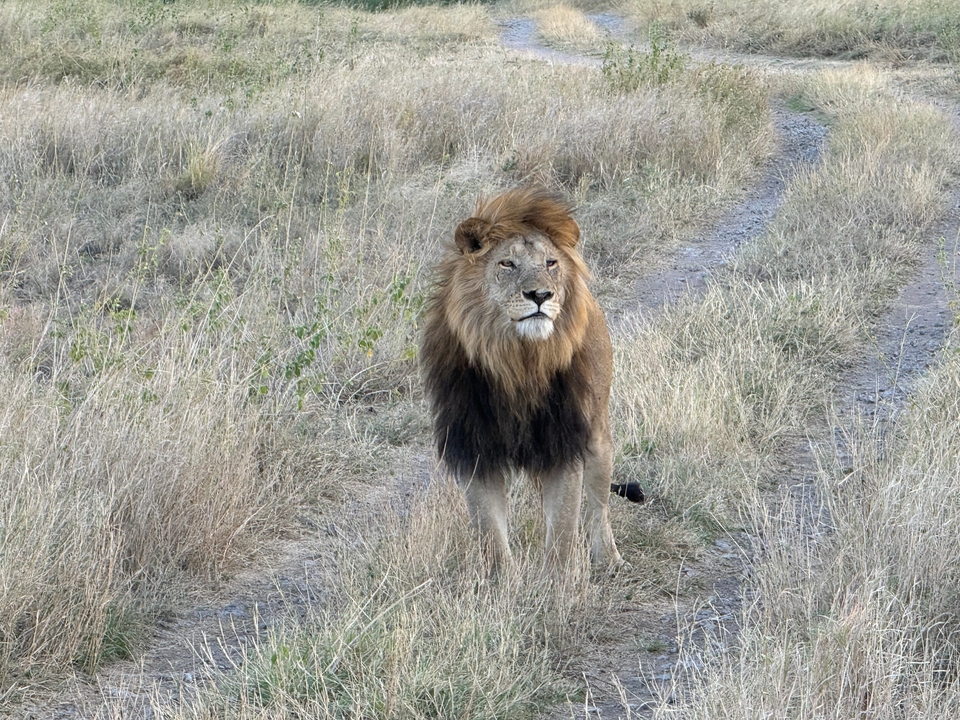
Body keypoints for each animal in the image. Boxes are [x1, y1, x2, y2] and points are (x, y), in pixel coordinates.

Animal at [421, 186, 640, 574]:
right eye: (507, 264)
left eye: (551, 263)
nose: (540, 295)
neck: (518, 360)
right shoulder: (476, 448)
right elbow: (490, 533)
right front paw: (502, 583)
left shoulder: (564, 440)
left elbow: (563, 531)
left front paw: (557, 584)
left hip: (598, 434)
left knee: (598, 505)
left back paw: (609, 560)